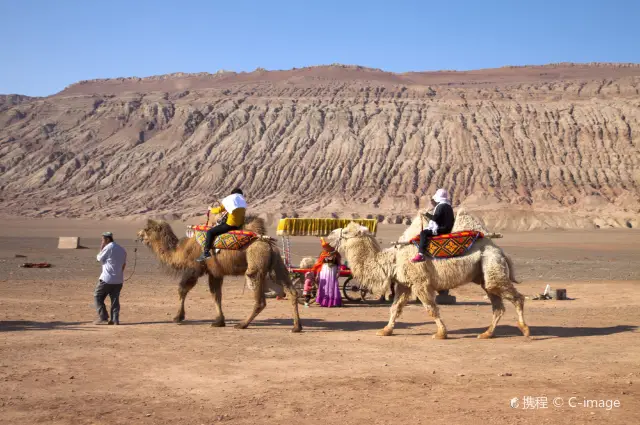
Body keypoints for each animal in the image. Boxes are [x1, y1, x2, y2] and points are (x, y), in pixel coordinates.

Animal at [136, 216, 302, 332]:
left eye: (147, 229)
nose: (138, 235)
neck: (181, 251)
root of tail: (268, 245)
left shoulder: (194, 268)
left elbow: (182, 289)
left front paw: (178, 317)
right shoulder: (215, 272)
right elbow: (216, 294)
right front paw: (218, 321)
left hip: (256, 263)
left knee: (260, 298)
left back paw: (242, 324)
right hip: (277, 265)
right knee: (292, 291)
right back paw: (296, 327)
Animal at [328, 211, 529, 339]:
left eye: (346, 232)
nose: (329, 234)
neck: (393, 259)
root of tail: (500, 250)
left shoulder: (420, 282)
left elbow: (431, 308)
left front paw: (441, 333)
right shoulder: (404, 284)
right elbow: (395, 308)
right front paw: (385, 330)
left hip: (492, 265)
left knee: (516, 297)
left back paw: (525, 329)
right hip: (484, 273)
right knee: (497, 305)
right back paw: (487, 334)